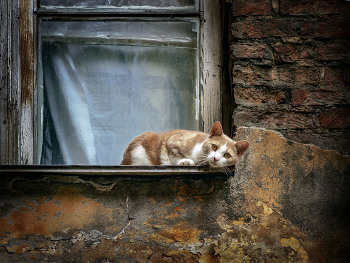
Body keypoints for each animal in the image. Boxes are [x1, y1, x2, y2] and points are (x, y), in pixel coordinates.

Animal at [120, 121, 249, 167]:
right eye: (214, 146)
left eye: (227, 155)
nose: (216, 158)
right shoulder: (172, 140)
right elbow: (175, 155)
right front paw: (185, 161)